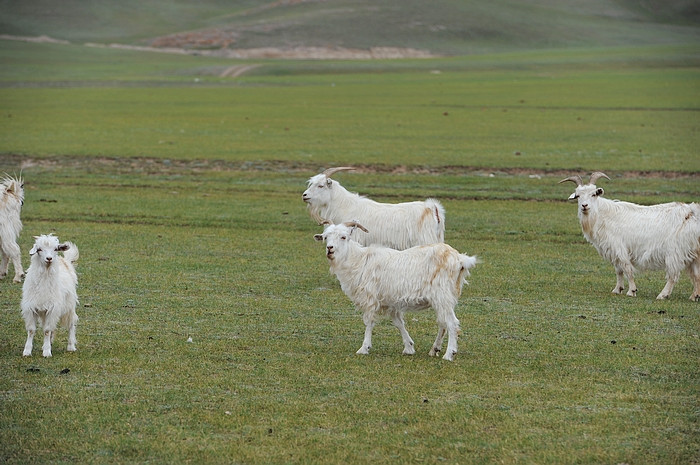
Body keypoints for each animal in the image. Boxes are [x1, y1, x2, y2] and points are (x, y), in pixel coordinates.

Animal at [314, 220, 478, 358]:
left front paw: (364, 348)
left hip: (442, 295)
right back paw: (434, 349)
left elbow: (369, 323)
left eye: (343, 237)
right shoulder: (390, 302)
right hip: (443, 298)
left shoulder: (370, 298)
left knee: (452, 323)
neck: (359, 261)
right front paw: (409, 347)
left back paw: (449, 354)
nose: (330, 249)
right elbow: (398, 323)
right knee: (443, 323)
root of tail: (459, 259)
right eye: (326, 237)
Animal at [560, 171, 700, 300]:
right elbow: (618, 270)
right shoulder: (614, 251)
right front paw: (618, 289)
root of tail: (692, 212)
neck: (605, 216)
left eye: (594, 194)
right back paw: (694, 296)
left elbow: (627, 269)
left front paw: (631, 291)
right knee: (696, 275)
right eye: (578, 196)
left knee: (673, 275)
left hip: (674, 252)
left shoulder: (619, 248)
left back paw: (662, 295)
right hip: (693, 253)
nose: (584, 206)